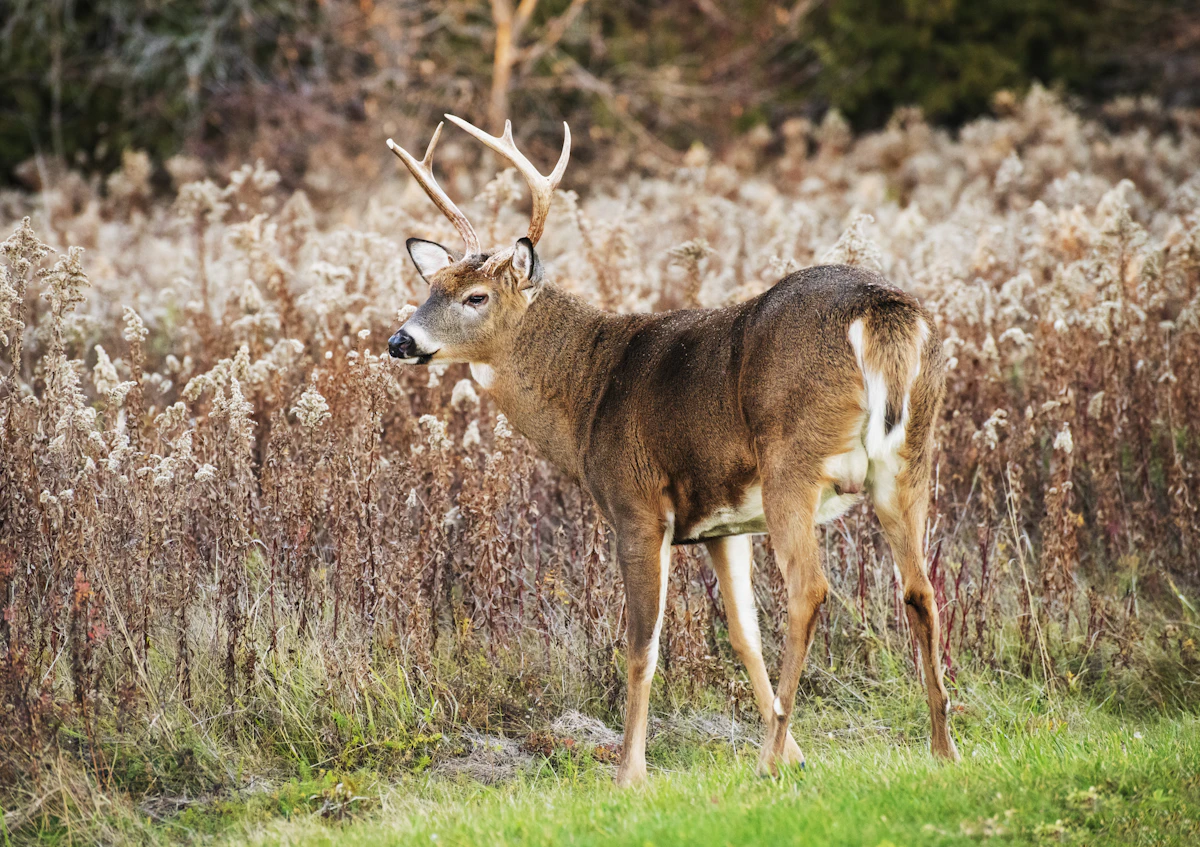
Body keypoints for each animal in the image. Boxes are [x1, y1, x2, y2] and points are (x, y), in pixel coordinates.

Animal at [385, 115, 960, 786]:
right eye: (431, 285)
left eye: (476, 297)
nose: (400, 341)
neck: (588, 395)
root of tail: (882, 312)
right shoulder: (723, 524)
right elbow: (741, 634)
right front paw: (796, 751)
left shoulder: (636, 504)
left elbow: (641, 644)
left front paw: (630, 771)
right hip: (911, 457)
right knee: (920, 589)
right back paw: (942, 749)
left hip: (794, 459)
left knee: (809, 590)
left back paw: (767, 761)